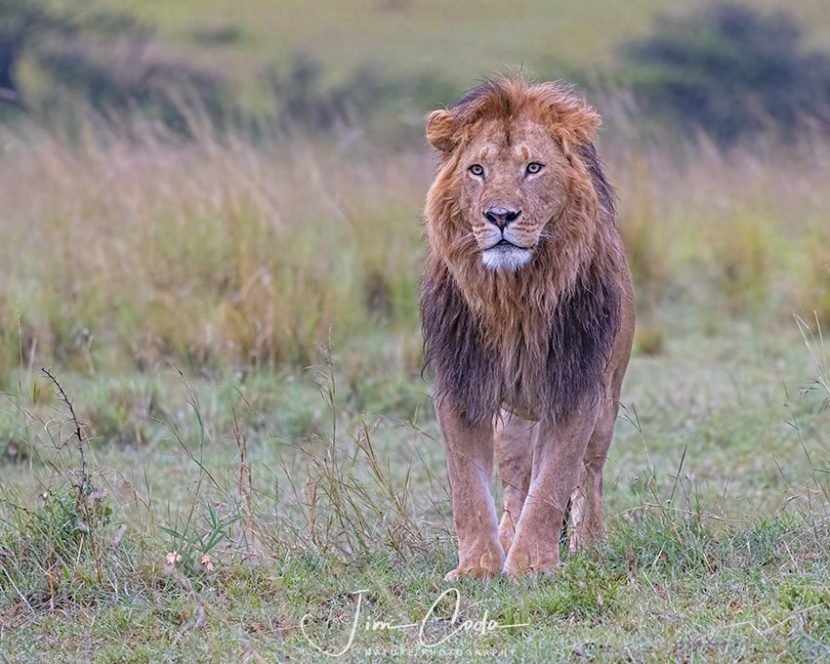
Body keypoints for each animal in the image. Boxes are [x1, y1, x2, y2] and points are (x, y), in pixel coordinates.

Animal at [420, 77, 635, 579]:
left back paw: (589, 543)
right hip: (513, 422)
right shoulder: (462, 384)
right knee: (516, 481)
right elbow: (467, 488)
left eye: (533, 167)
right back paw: (506, 537)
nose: (500, 216)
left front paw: (534, 564)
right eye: (477, 170)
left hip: (607, 404)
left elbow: (554, 481)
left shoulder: (577, 387)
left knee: (590, 473)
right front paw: (478, 567)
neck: (514, 297)